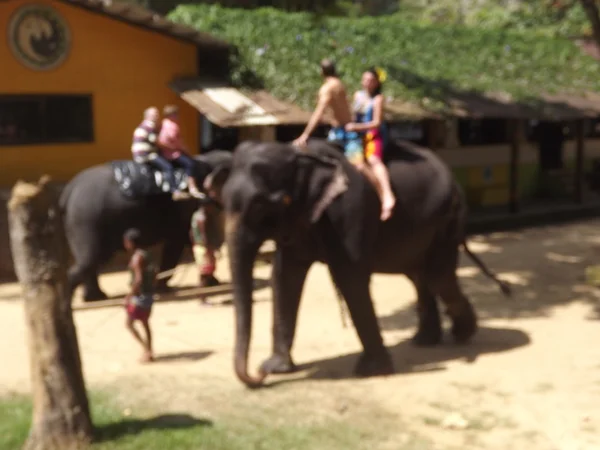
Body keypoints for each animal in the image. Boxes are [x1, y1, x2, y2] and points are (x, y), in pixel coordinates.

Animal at [58, 150, 232, 302]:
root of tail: (69, 190)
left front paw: (213, 282)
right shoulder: (185, 206)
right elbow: (178, 243)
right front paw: (163, 288)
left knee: (89, 261)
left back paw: (95, 297)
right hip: (86, 220)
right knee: (90, 259)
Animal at [206, 139, 510, 388]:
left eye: (264, 204)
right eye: (222, 201)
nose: (258, 375)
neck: (300, 154)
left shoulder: (349, 211)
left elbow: (349, 277)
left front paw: (370, 370)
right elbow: (284, 276)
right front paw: (278, 367)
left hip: (449, 216)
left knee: (438, 277)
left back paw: (462, 335)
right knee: (420, 276)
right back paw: (426, 341)